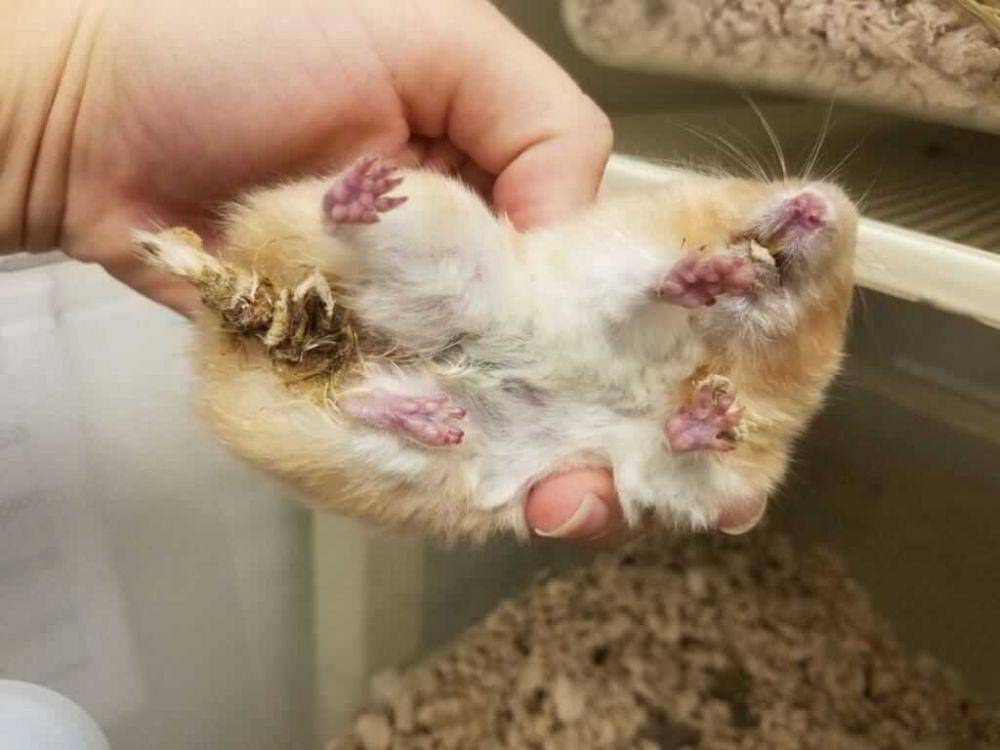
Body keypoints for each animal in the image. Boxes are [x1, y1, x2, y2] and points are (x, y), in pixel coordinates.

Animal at [134, 155, 858, 542]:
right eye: (748, 183)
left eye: (843, 293)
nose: (822, 205)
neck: (713, 347)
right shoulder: (600, 273)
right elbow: (642, 289)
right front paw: (707, 275)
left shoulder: (701, 481)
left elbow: (674, 457)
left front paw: (710, 414)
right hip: (432, 244)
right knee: (342, 228)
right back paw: (358, 194)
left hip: (398, 446)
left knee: (360, 399)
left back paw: (423, 414)